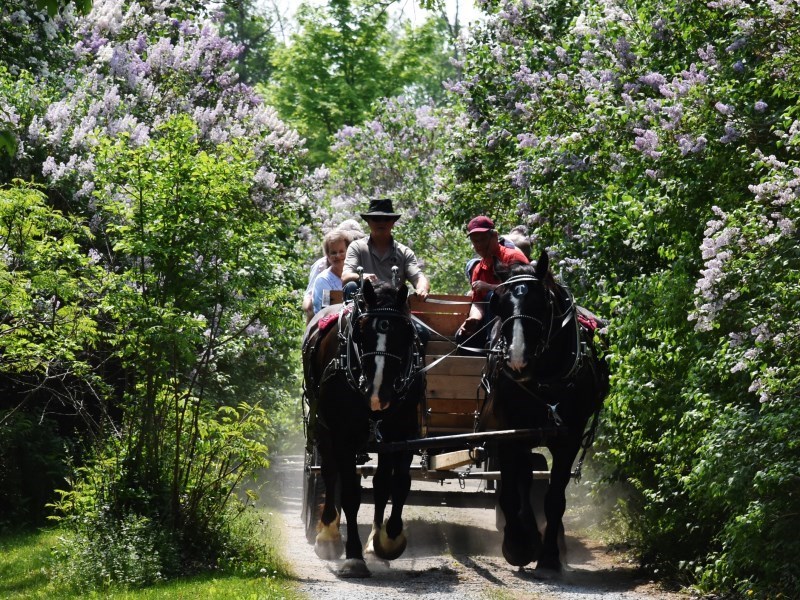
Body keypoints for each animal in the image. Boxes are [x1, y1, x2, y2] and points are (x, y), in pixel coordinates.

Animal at [300, 280, 424, 576]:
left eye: (406, 333)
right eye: (361, 333)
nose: (379, 394)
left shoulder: (403, 434)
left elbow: (397, 484)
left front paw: (388, 540)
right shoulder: (342, 435)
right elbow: (350, 494)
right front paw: (354, 556)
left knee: (380, 483)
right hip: (323, 428)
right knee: (330, 473)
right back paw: (328, 535)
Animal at [482, 253, 608, 572]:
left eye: (541, 302)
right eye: (498, 303)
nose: (517, 361)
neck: (543, 378)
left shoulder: (569, 438)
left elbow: (554, 499)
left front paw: (549, 555)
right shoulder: (508, 433)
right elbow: (510, 493)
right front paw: (516, 546)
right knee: (523, 481)